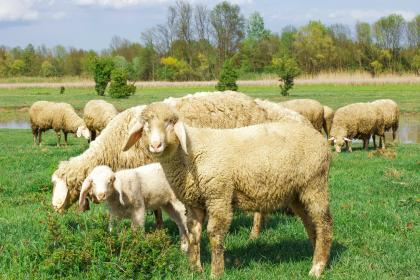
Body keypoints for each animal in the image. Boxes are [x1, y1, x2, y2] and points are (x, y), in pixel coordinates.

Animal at [123, 102, 334, 278]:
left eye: (170, 123)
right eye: (146, 125)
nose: (155, 145)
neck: (189, 154)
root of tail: (319, 138)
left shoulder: (219, 195)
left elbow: (215, 234)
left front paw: (216, 272)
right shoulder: (194, 202)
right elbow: (194, 234)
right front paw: (195, 269)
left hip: (315, 184)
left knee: (324, 223)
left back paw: (317, 268)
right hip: (297, 193)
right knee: (311, 224)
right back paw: (319, 257)